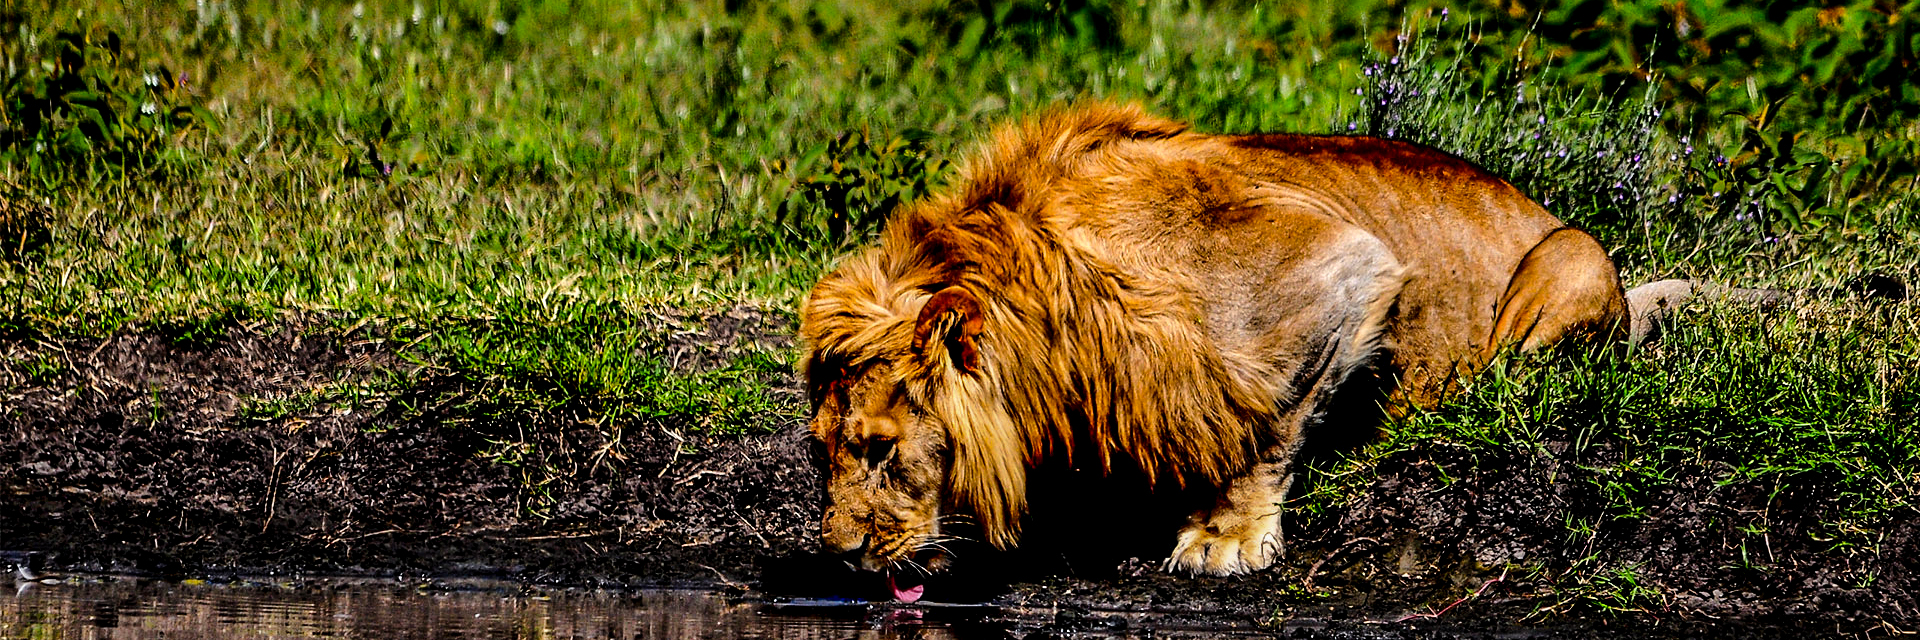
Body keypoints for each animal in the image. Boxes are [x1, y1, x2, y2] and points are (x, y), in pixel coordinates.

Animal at [802, 100, 1643, 576]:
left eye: (879, 448)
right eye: (822, 449)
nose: (838, 557)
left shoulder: (1343, 265)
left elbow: (1261, 424)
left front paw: (1223, 538)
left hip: (1573, 259)